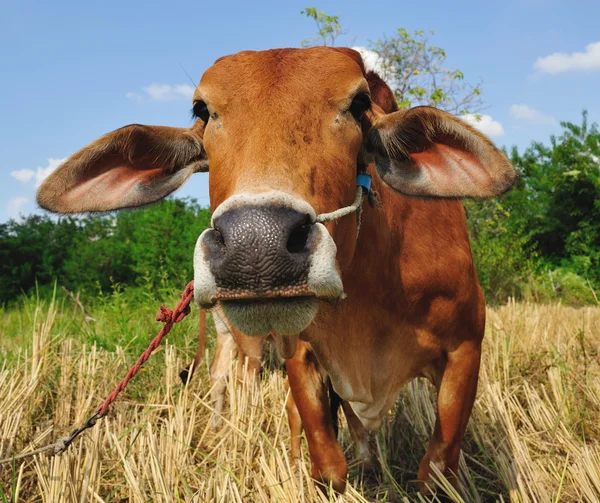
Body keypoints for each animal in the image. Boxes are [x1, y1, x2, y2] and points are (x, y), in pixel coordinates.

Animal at [36, 47, 516, 496]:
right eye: (203, 111)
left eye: (359, 103)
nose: (255, 244)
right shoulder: (298, 354)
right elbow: (329, 466)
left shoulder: (465, 349)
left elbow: (435, 470)